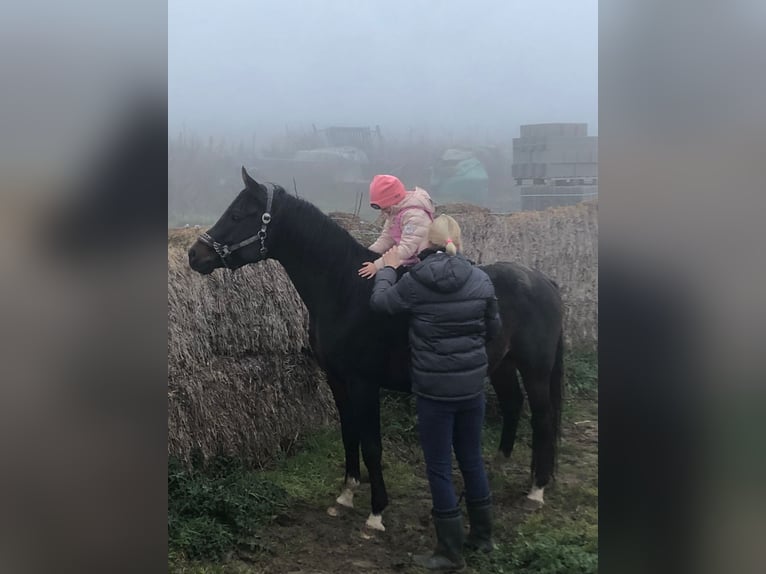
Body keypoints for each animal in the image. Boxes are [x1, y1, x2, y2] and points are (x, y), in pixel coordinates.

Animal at [188, 167, 564, 532]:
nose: (194, 255)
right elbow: (349, 434)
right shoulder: (337, 381)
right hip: (502, 364)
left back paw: (537, 489)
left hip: (535, 368)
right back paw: (500, 466)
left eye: (238, 215)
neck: (348, 290)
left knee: (542, 418)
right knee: (513, 404)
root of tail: (543, 280)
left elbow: (371, 444)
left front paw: (376, 512)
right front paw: (345, 495)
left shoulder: (364, 384)